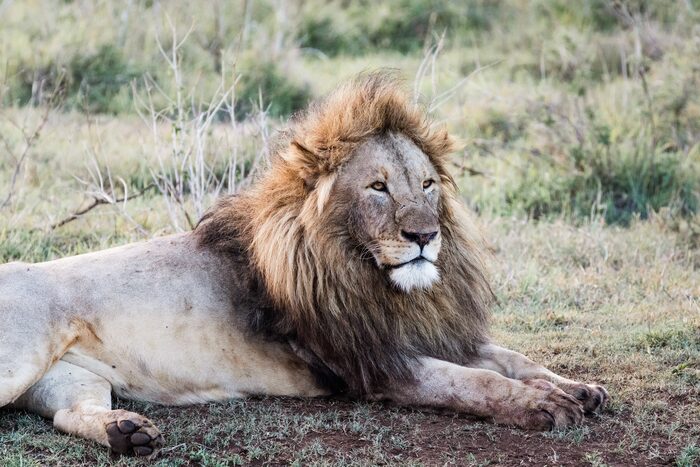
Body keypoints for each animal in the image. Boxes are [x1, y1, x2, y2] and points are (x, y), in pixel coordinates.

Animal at [0, 73, 608, 457]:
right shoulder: (379, 363)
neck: (373, 279)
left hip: (74, 377)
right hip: (18, 359)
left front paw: (575, 387)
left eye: (427, 185)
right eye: (379, 187)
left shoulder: (422, 331)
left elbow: (506, 356)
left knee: (67, 412)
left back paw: (127, 433)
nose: (424, 236)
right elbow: (476, 381)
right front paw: (544, 405)